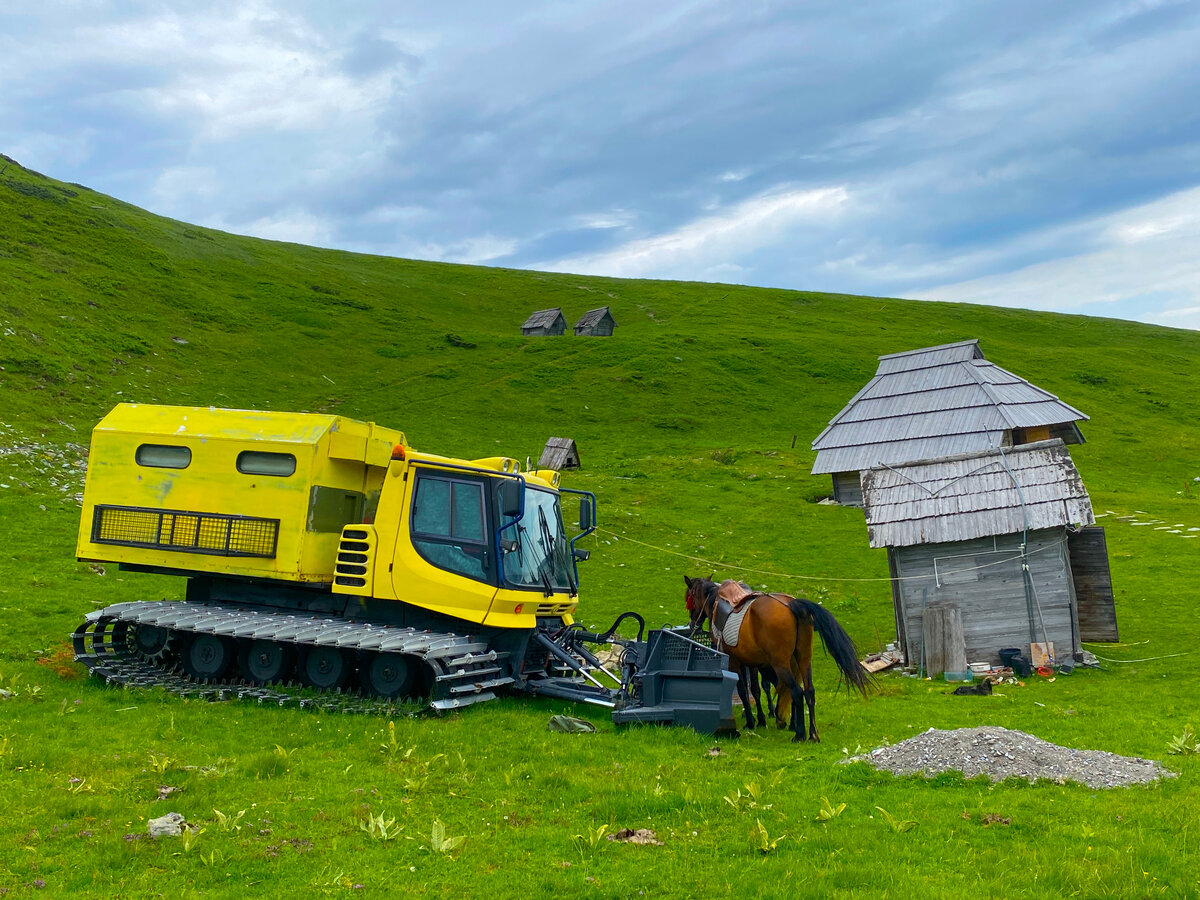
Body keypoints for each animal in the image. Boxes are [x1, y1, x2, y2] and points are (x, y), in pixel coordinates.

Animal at [686, 573, 873, 744]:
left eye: (690, 597)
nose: (692, 623)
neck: (717, 602)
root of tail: (793, 604)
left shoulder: (734, 661)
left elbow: (743, 690)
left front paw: (751, 722)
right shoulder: (753, 663)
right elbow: (756, 689)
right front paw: (761, 720)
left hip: (780, 664)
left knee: (796, 691)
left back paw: (799, 734)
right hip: (803, 660)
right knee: (809, 691)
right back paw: (812, 734)